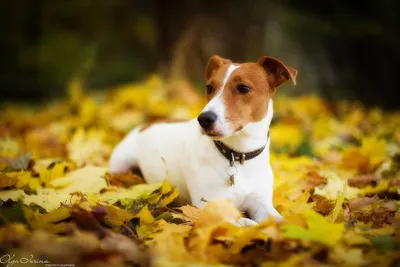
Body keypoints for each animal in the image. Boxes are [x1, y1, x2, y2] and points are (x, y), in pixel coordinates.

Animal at [109, 55, 296, 225]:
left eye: (243, 88)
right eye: (209, 87)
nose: (204, 118)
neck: (238, 155)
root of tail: (147, 124)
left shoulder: (261, 204)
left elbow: (279, 220)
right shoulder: (209, 207)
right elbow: (239, 223)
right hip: (120, 163)